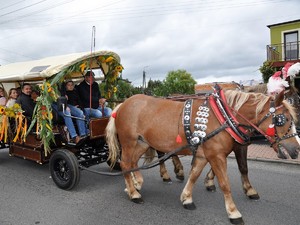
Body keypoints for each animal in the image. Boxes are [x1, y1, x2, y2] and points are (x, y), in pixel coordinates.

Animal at [106, 90, 300, 225]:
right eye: (282, 119)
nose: (297, 149)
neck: (224, 117)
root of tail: (122, 104)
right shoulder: (216, 155)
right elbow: (225, 184)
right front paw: (233, 212)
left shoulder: (202, 155)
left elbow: (194, 175)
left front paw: (187, 198)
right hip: (129, 141)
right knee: (125, 164)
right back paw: (134, 194)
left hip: (142, 143)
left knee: (132, 163)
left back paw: (135, 185)